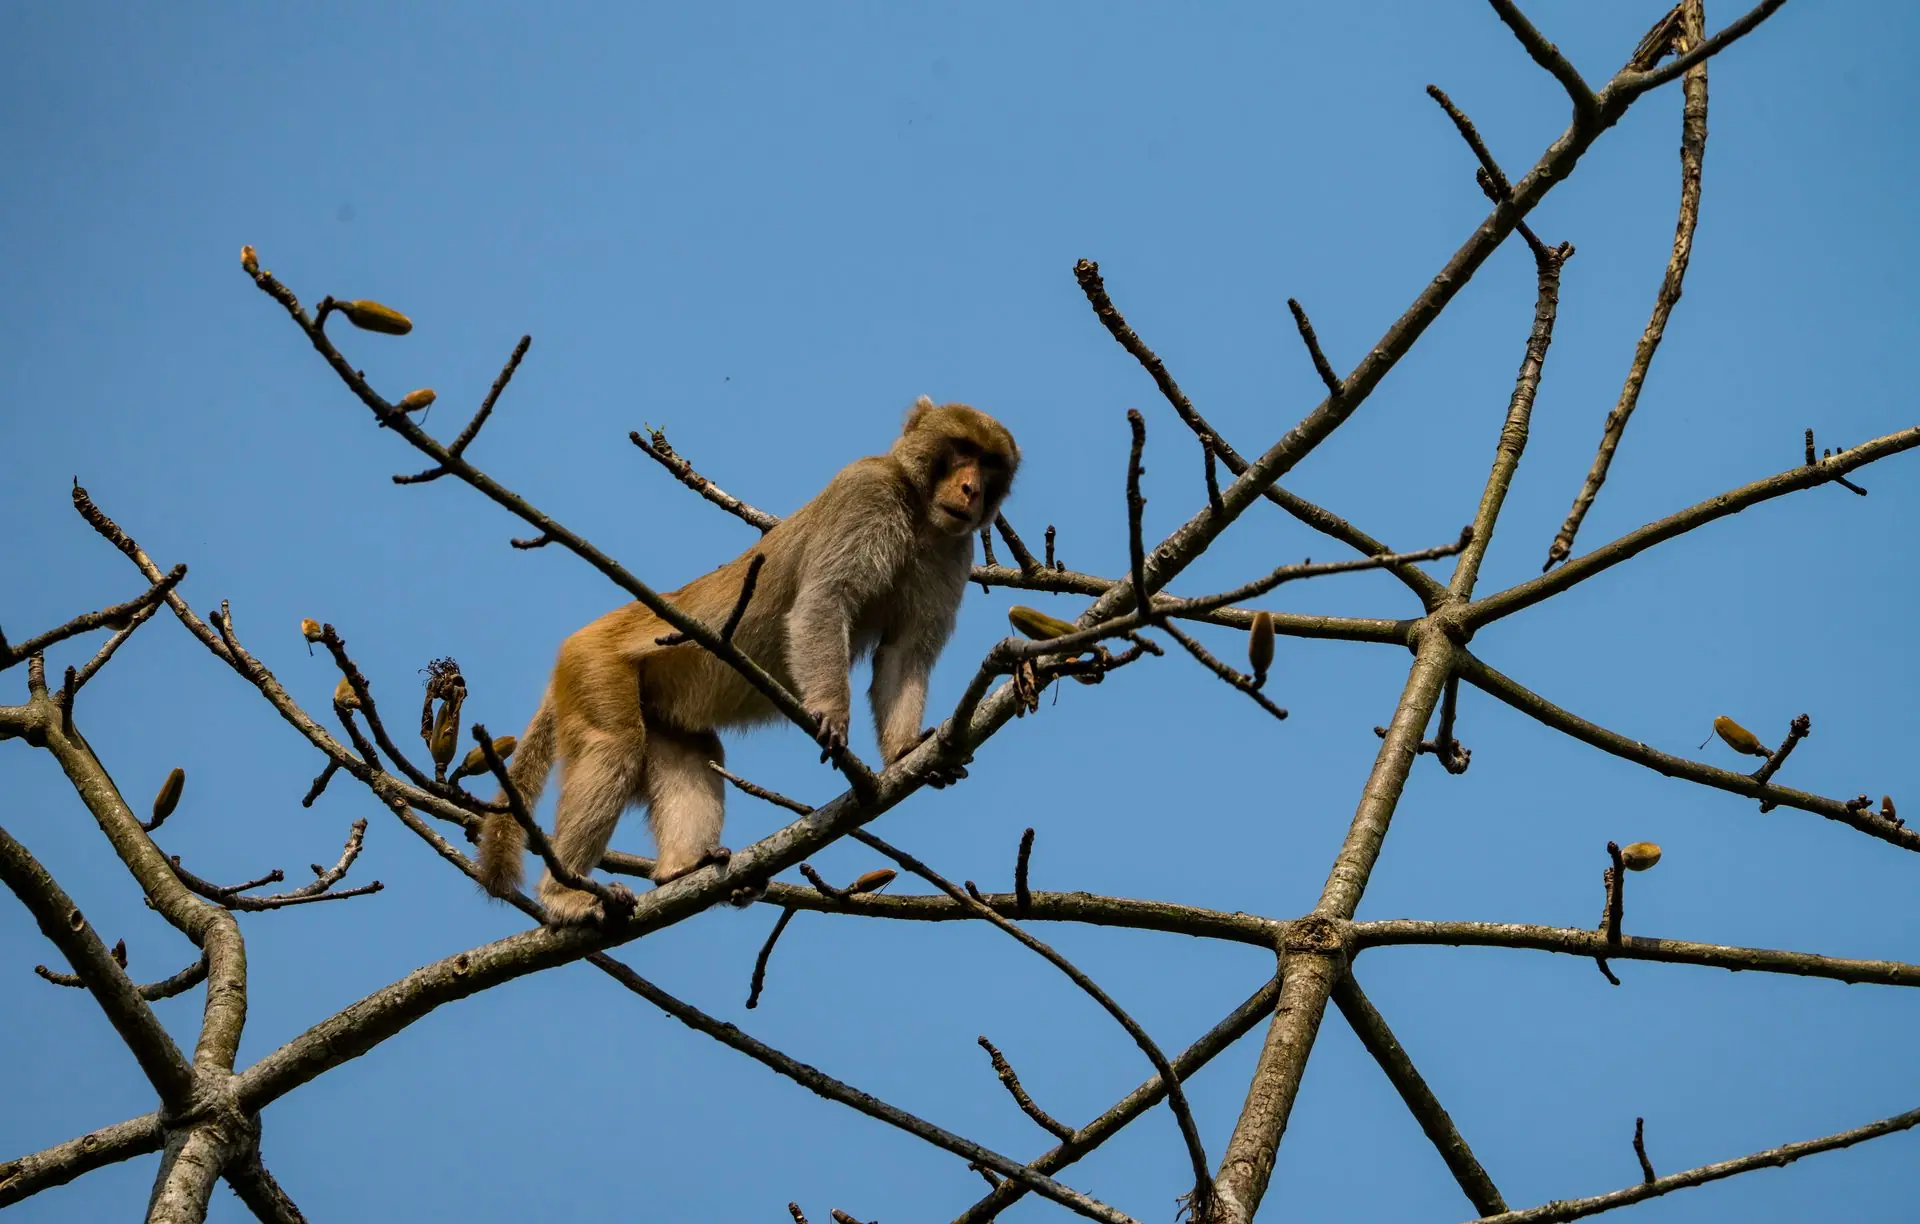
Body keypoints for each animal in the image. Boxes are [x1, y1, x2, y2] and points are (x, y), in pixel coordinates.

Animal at [474, 397, 1019, 925]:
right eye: (961, 449)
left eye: (989, 464)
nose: (971, 488)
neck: (916, 508)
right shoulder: (866, 494)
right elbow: (824, 601)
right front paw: (831, 714)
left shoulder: (953, 549)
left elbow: (903, 653)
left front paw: (906, 750)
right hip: (593, 663)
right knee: (615, 746)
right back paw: (564, 896)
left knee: (693, 750)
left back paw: (680, 870)